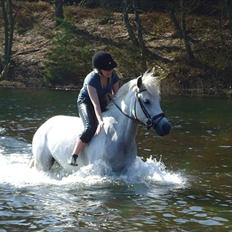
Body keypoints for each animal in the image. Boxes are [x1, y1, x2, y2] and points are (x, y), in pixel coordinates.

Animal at [30, 70, 171, 172]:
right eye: (146, 101)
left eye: (158, 100)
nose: (166, 127)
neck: (118, 136)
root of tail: (44, 125)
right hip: (43, 164)